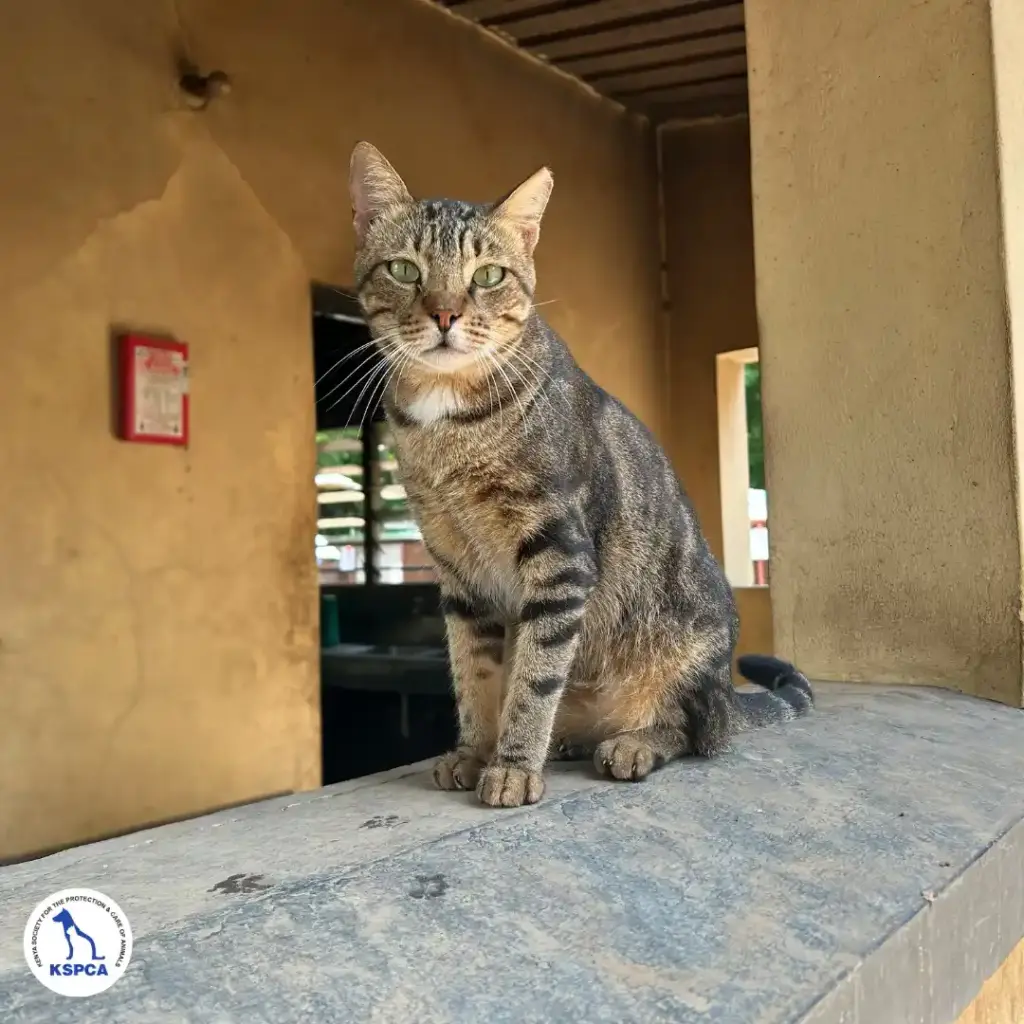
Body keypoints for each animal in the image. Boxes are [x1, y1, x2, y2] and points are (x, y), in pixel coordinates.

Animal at [347, 141, 812, 808]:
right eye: (406, 270)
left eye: (488, 276)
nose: (445, 314)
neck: (447, 425)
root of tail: (729, 694)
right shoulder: (458, 572)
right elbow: (474, 674)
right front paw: (475, 750)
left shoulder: (558, 552)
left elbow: (534, 678)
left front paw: (513, 765)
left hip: (689, 653)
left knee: (696, 732)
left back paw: (634, 742)